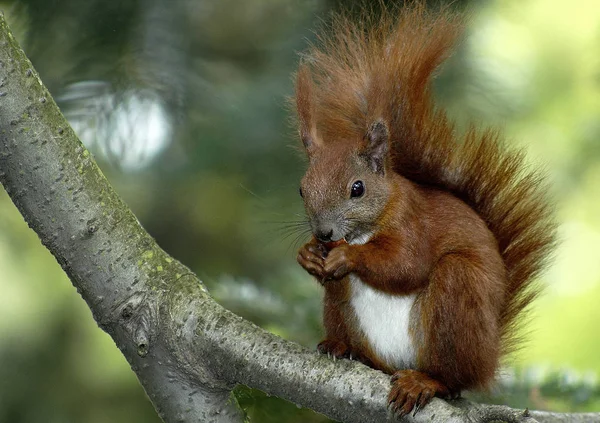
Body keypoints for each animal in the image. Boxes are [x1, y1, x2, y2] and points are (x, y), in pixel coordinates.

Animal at [292, 2, 556, 420]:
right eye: (302, 189)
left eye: (357, 188)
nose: (324, 234)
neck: (368, 226)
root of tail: (488, 358)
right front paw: (307, 255)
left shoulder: (414, 223)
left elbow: (406, 265)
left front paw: (347, 256)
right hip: (341, 312)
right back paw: (344, 348)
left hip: (458, 293)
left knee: (451, 378)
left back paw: (424, 382)